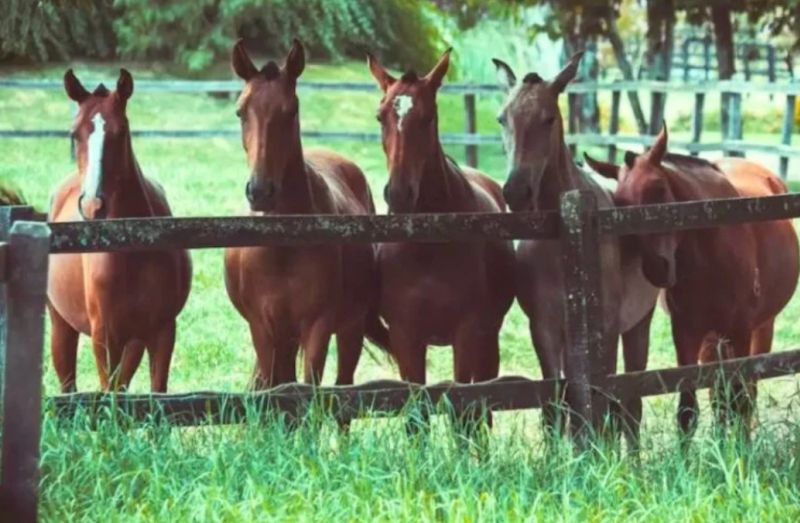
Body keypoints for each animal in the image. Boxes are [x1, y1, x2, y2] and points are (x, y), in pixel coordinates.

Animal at [48, 67, 192, 390]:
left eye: (121, 132)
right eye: (74, 134)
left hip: (133, 342)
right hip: (61, 327)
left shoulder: (162, 331)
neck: (133, 246)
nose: (92, 206)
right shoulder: (105, 337)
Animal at [220, 40, 380, 388]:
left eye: (291, 110)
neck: (283, 245)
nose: (260, 190)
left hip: (350, 328)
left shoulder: (317, 327)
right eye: (240, 112)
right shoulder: (263, 330)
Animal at [368, 50, 516, 418]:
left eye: (428, 117)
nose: (399, 194)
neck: (428, 245)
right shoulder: (406, 336)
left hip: (488, 335)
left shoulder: (467, 331)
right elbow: (415, 411)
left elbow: (464, 406)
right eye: (380, 117)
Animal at [490, 55, 660, 442]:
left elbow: (604, 406)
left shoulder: (606, 329)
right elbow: (556, 406)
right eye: (502, 118)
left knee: (631, 406)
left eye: (549, 118)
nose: (516, 192)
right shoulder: (544, 329)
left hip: (638, 324)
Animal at [580, 126, 800, 438]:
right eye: (621, 204)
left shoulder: (740, 331)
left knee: (745, 392)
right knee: (719, 395)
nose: (656, 268)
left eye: (659, 189)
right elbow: (688, 410)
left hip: (760, 328)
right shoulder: (686, 334)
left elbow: (740, 399)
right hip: (712, 339)